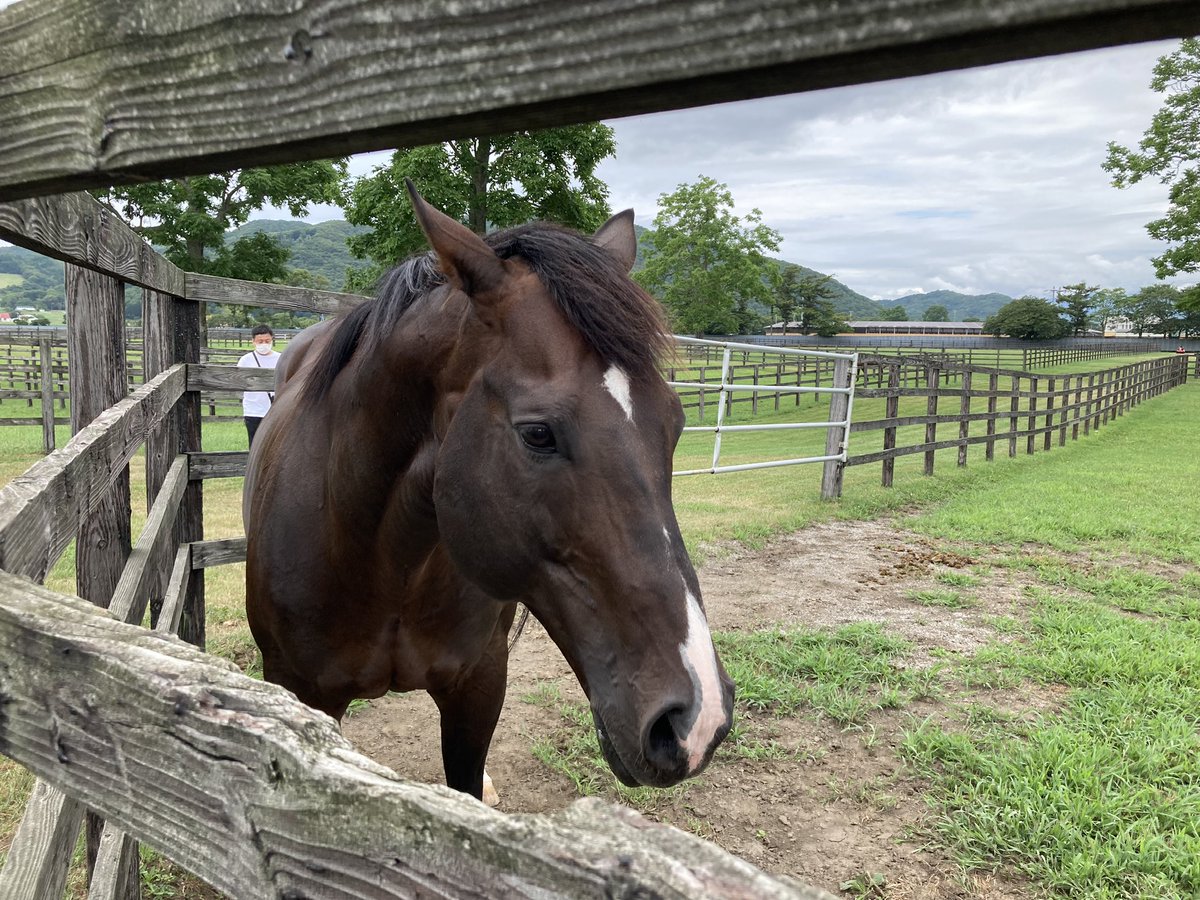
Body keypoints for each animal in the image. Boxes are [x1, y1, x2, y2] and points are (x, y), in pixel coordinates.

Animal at [243, 182, 734, 803]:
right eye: (537, 433)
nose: (697, 720)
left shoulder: (479, 687)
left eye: (674, 423)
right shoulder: (300, 693)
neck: (382, 561)